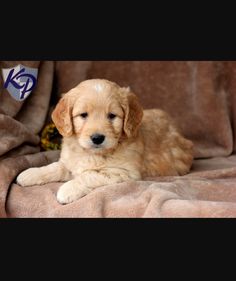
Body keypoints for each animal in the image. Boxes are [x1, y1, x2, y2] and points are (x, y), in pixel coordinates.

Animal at [16, 79, 194, 203]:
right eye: (83, 115)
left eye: (112, 116)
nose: (97, 138)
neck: (91, 153)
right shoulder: (70, 162)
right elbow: (54, 167)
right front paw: (30, 174)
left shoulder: (124, 172)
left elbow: (89, 175)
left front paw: (68, 189)